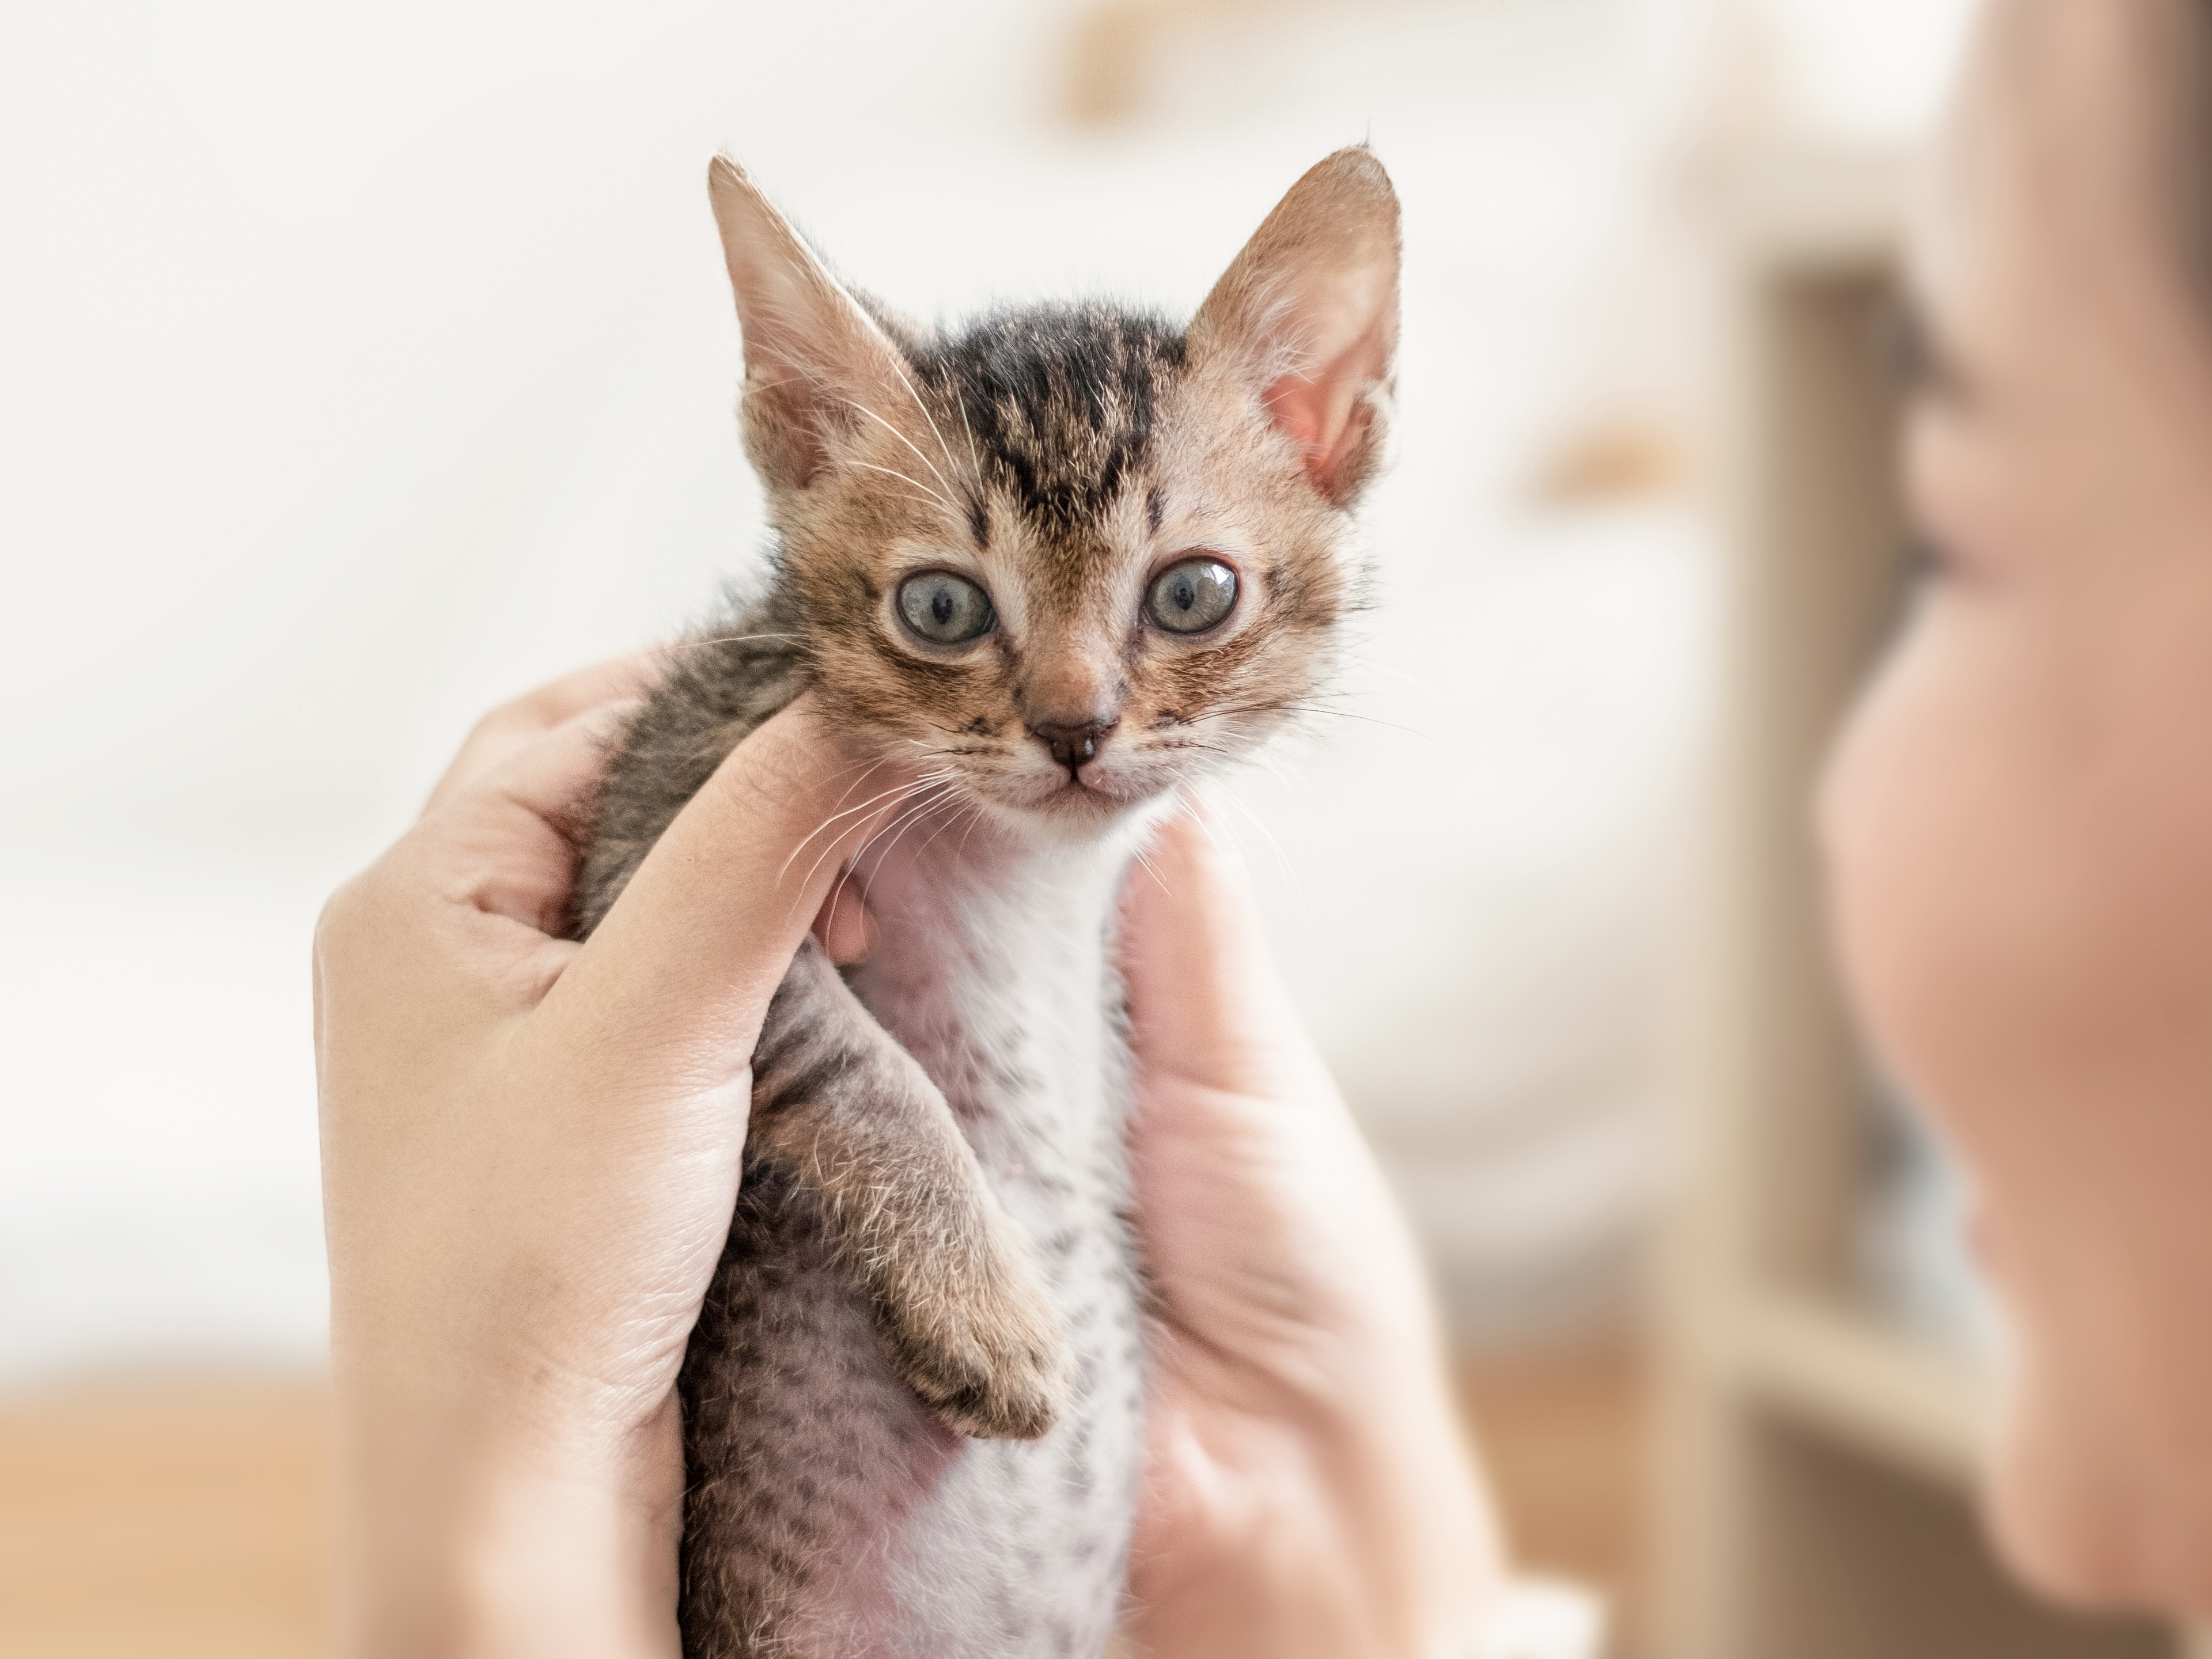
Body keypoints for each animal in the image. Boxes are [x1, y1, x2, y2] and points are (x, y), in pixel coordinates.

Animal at [570, 146, 1397, 1659]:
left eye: (1193, 593)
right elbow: (857, 1065)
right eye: (943, 609)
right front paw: (985, 1310)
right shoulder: (649, 845)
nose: (1073, 726)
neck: (1023, 865)